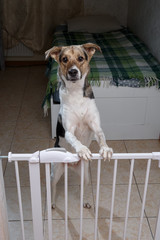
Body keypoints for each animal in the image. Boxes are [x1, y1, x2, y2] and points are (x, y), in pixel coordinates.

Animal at [45, 44, 112, 209]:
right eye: (64, 59)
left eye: (80, 58)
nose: (73, 72)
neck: (75, 93)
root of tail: (70, 165)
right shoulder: (69, 130)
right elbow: (75, 140)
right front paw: (82, 150)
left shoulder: (95, 125)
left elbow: (101, 136)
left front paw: (106, 149)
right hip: (55, 172)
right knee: (53, 187)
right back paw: (52, 203)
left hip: (85, 175)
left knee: (83, 188)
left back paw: (86, 201)